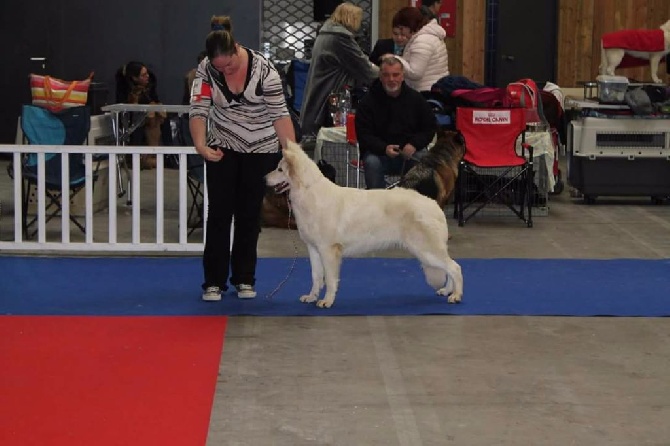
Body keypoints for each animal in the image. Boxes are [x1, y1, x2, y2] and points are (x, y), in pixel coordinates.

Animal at [266, 141, 464, 308]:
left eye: (279, 169)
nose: (264, 179)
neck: (309, 192)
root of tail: (434, 204)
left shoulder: (329, 250)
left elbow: (330, 280)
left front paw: (327, 301)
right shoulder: (314, 249)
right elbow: (316, 277)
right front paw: (312, 297)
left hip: (426, 251)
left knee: (455, 267)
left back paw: (456, 295)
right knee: (450, 268)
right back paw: (447, 291)